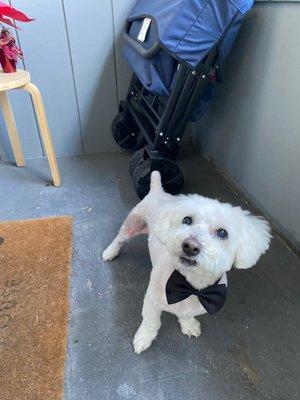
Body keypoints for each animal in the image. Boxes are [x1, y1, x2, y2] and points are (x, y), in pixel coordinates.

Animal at [102, 171, 270, 354]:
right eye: (187, 220)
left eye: (222, 233)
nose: (190, 246)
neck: (189, 286)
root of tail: (158, 191)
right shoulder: (151, 301)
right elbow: (151, 322)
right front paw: (144, 338)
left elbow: (187, 315)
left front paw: (188, 325)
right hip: (132, 223)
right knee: (119, 238)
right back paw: (110, 251)